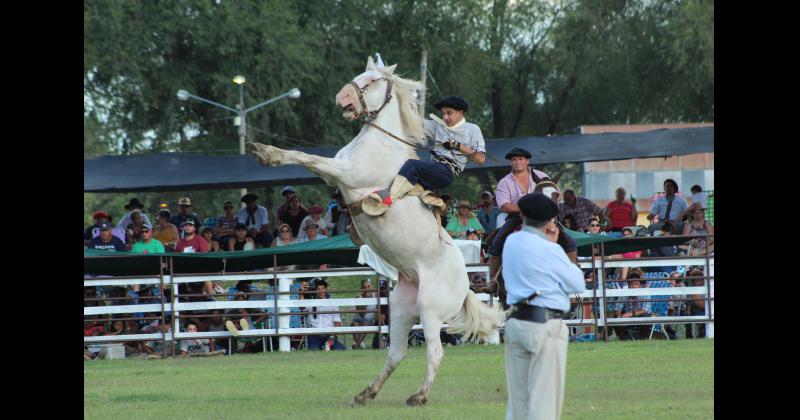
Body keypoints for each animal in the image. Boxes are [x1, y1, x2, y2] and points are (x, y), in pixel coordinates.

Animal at [250, 54, 504, 406]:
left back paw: (418, 396)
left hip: (429, 308)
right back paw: (365, 393)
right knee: (396, 353)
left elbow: (307, 157)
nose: (341, 97)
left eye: (371, 81)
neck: (380, 142)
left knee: (435, 352)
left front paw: (266, 152)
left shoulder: (346, 172)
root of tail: (466, 285)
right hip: (401, 309)